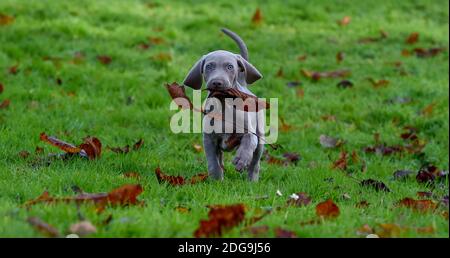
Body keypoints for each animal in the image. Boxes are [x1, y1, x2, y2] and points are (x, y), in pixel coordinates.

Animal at [183, 27, 266, 181]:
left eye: (229, 67)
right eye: (209, 66)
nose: (217, 82)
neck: (224, 104)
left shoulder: (249, 132)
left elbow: (249, 140)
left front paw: (241, 159)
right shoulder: (209, 139)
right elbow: (212, 161)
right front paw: (216, 178)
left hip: (260, 136)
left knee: (255, 162)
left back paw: (252, 180)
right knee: (220, 159)